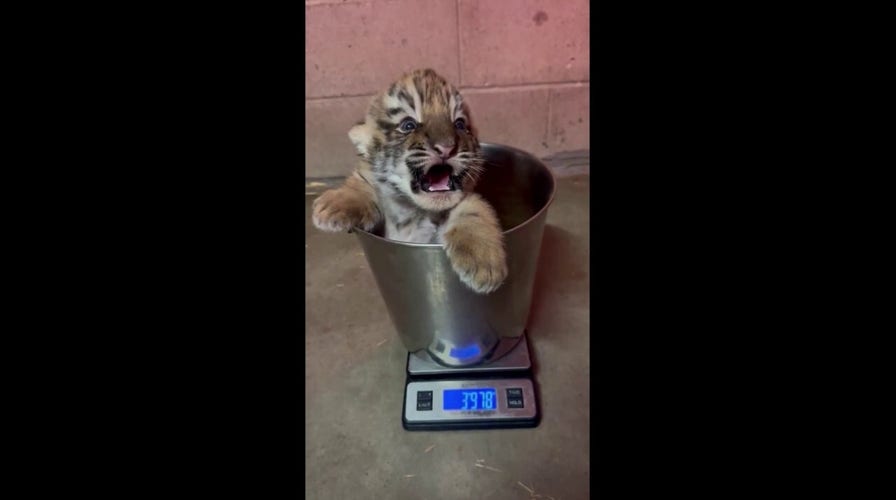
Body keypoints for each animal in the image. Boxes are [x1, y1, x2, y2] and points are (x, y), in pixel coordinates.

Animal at [311, 68, 507, 294]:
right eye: (408, 125)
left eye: (459, 124)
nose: (446, 147)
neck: (413, 213)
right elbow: (364, 183)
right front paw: (332, 207)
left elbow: (473, 207)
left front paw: (484, 264)